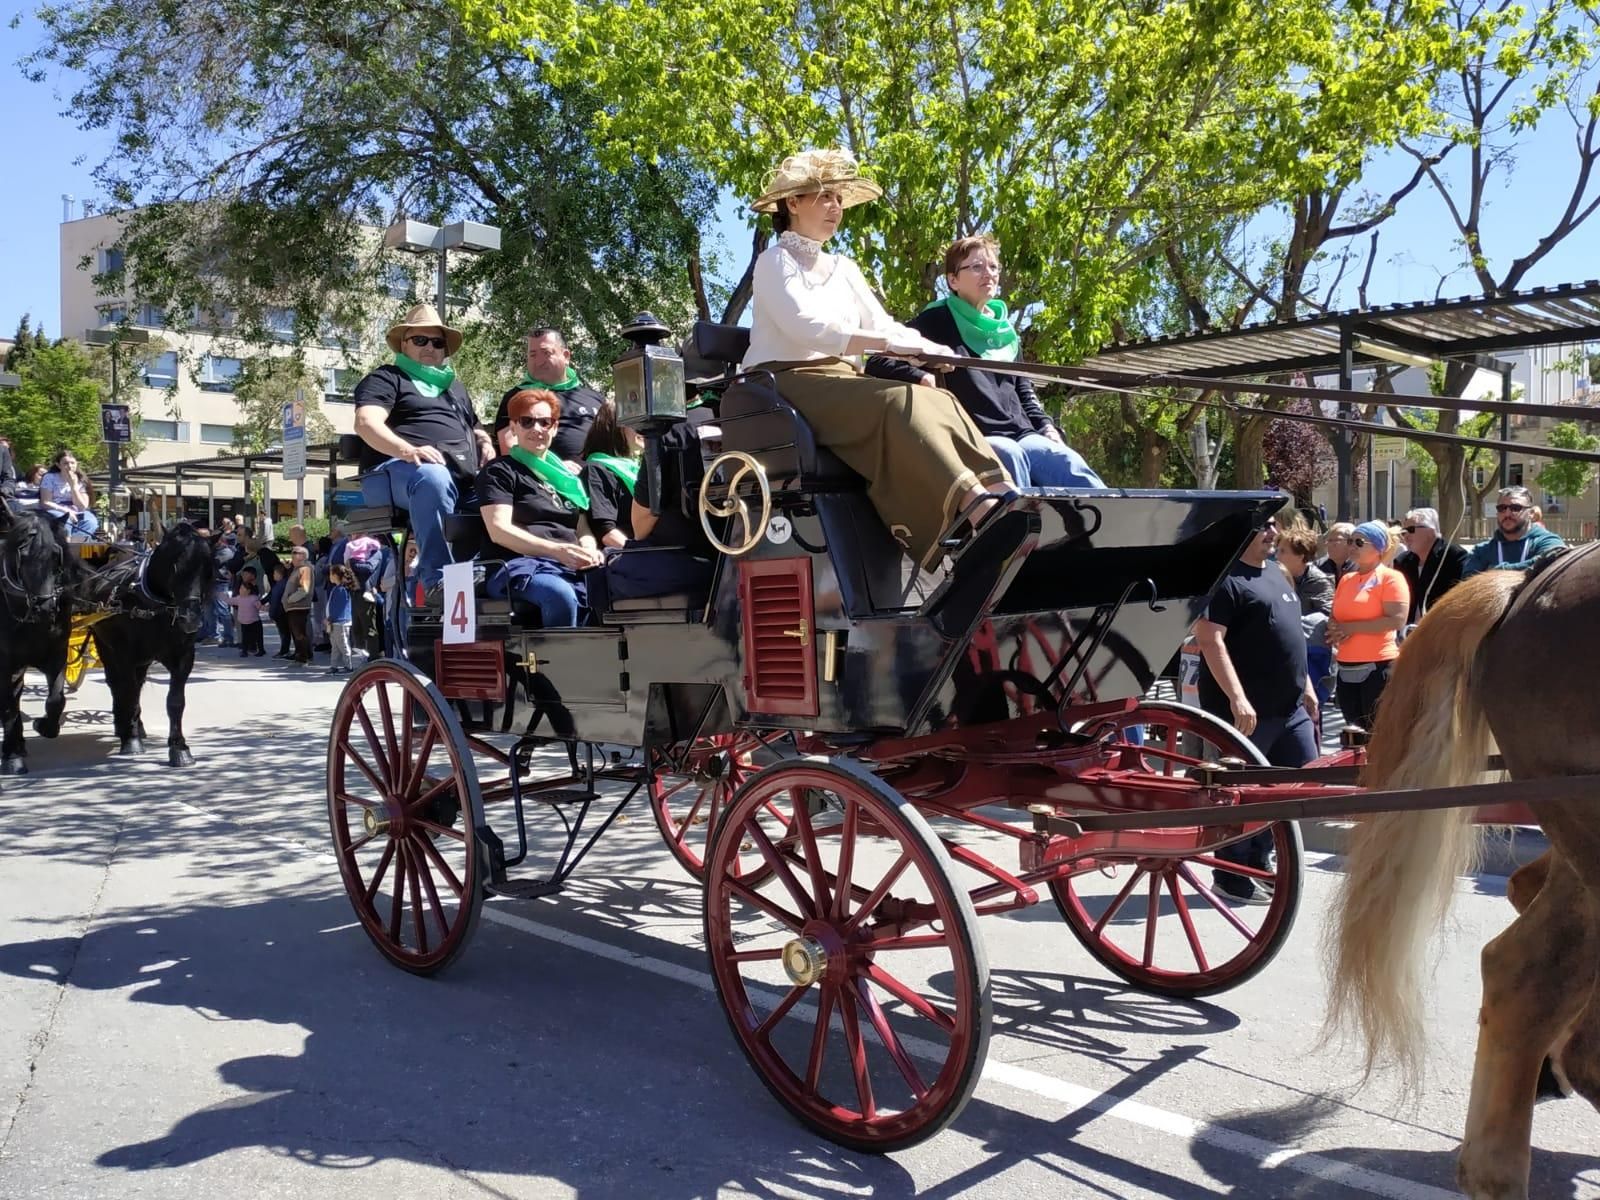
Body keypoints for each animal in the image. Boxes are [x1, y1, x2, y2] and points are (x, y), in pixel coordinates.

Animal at [0, 508, 85, 774]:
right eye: (23, 555)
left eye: (56, 556)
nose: (45, 607)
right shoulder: (5, 662)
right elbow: (8, 705)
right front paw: (12, 757)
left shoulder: (57, 653)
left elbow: (56, 698)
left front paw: (45, 726)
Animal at [87, 521, 214, 764]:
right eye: (174, 566)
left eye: (208, 568)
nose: (191, 619)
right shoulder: (124, 653)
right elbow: (128, 692)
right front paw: (131, 740)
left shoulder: (183, 655)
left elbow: (175, 701)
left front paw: (179, 747)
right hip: (105, 646)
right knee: (119, 685)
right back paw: (125, 727)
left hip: (143, 658)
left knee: (136, 685)